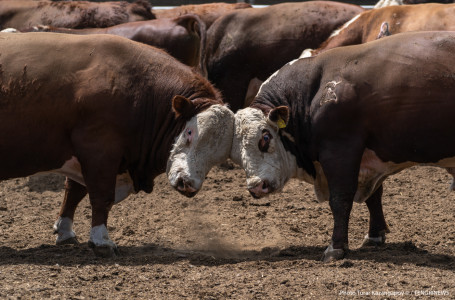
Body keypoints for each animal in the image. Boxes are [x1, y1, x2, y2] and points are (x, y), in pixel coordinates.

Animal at [0, 32, 235, 258]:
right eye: (189, 132)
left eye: (219, 156)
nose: (188, 184)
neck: (140, 89)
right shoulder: (99, 150)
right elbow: (101, 196)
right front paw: (101, 241)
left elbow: (74, 191)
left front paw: (65, 231)